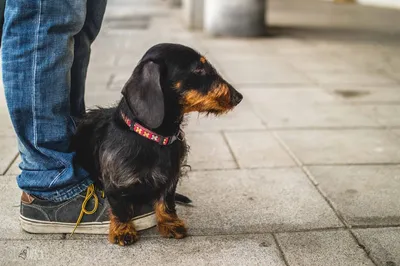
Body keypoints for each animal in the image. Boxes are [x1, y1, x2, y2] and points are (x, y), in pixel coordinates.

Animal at [73, 43, 244, 245]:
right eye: (198, 69)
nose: (238, 97)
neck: (154, 138)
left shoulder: (170, 179)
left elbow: (166, 202)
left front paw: (170, 224)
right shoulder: (115, 184)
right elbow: (120, 208)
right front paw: (123, 229)